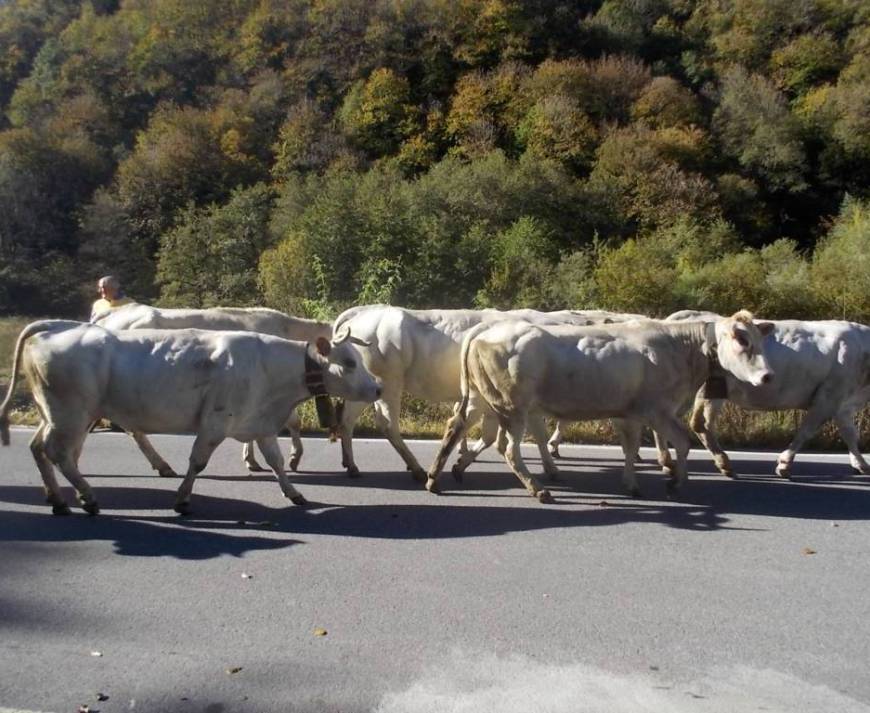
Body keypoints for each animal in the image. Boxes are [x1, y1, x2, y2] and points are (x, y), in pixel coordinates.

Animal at [329, 305, 638, 482]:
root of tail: (363, 314)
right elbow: (533, 434)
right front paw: (551, 466)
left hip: (365, 385)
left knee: (347, 419)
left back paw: (351, 464)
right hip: (389, 382)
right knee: (387, 424)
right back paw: (415, 468)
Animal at [425, 312, 774, 502]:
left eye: (759, 339)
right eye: (743, 340)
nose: (768, 376)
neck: (680, 349)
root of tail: (487, 328)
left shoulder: (630, 412)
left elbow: (631, 447)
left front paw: (632, 483)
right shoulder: (657, 408)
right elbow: (682, 442)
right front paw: (675, 482)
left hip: (480, 397)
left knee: (456, 426)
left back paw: (439, 476)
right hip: (512, 406)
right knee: (507, 448)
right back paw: (538, 489)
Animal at [665, 310, 870, 479]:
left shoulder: (844, 403)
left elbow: (850, 434)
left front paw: (861, 464)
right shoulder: (829, 396)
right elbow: (806, 431)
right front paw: (785, 464)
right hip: (707, 391)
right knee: (700, 424)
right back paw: (722, 463)